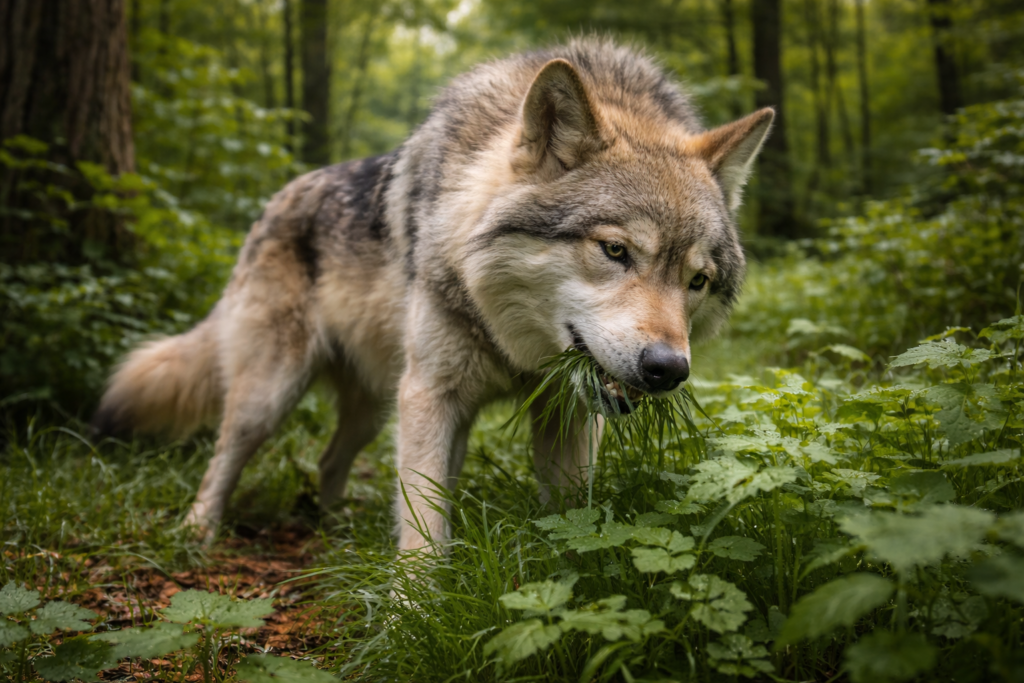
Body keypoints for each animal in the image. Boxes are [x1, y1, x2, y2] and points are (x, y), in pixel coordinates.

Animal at [92, 38, 773, 551]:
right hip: (276, 394)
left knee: (329, 460)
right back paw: (199, 531)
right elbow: (423, 529)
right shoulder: (431, 394)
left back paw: (333, 529)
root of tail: (274, 202)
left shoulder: (564, 411)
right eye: (615, 251)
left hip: (376, 408)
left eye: (696, 281)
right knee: (225, 455)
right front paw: (410, 609)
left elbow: (570, 512)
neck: (513, 345)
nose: (668, 369)